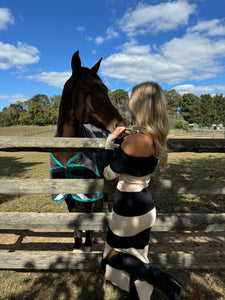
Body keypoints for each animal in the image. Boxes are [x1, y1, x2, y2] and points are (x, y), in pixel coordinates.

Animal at [50, 50, 125, 252]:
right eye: (87, 91)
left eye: (105, 90)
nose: (121, 124)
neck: (67, 149)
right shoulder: (65, 188)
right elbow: (73, 214)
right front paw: (77, 245)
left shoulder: (89, 187)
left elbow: (87, 213)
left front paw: (88, 244)